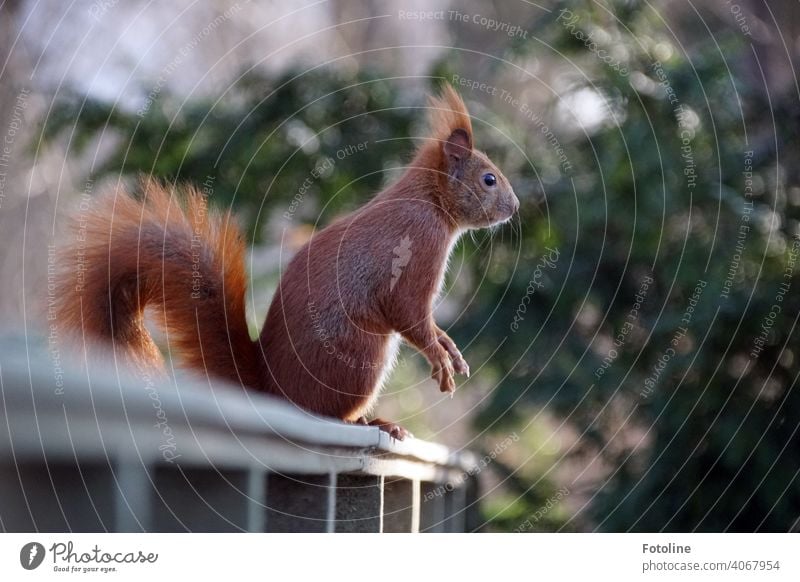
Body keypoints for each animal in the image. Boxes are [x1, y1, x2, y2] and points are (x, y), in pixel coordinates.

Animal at [57, 84, 520, 440]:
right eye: (489, 179)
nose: (515, 207)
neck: (430, 201)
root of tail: (271, 390)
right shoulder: (416, 246)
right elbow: (408, 312)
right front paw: (439, 358)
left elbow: (429, 325)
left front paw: (450, 349)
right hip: (362, 355)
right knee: (328, 412)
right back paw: (373, 423)